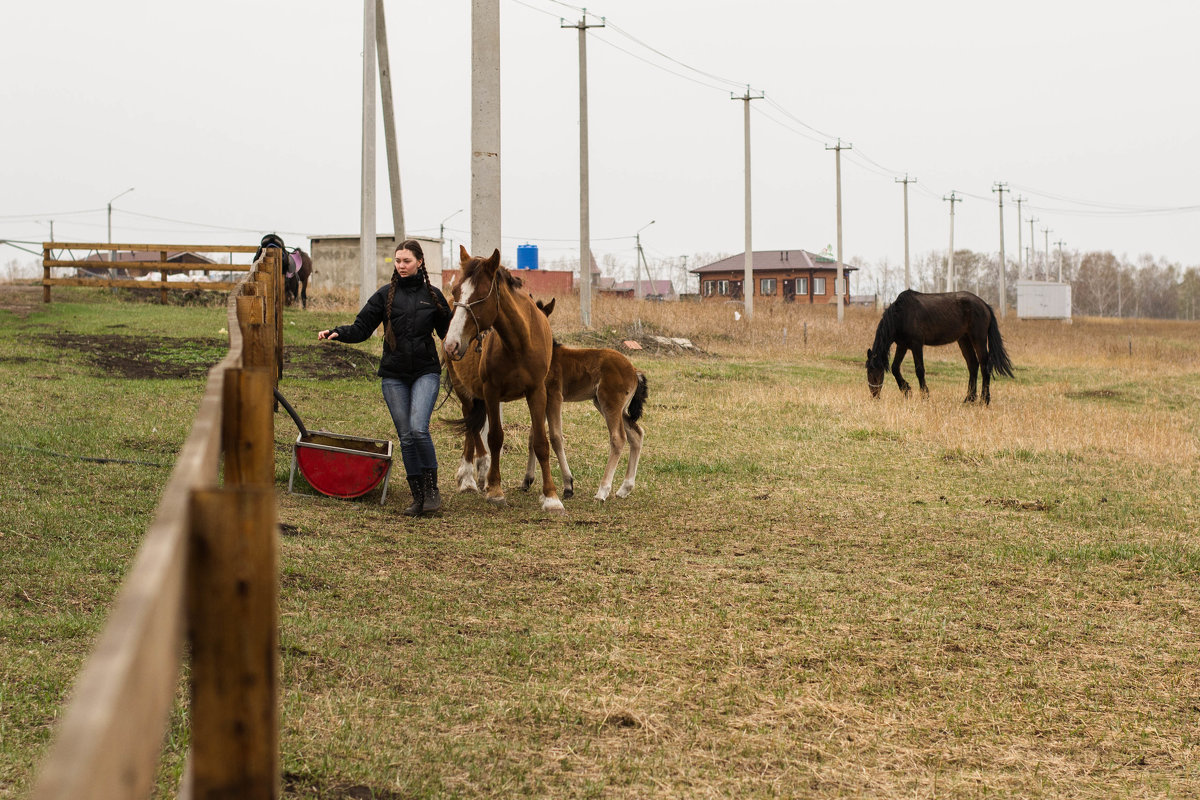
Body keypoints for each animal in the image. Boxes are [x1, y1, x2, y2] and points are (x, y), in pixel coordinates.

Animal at [444, 244, 564, 515]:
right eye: (456, 291)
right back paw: (469, 476)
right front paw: (496, 490)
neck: (519, 343)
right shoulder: (491, 392)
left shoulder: (537, 391)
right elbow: (495, 437)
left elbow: (541, 441)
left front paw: (551, 496)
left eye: (480, 295)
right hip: (462, 388)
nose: (451, 344)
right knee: (471, 425)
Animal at [525, 299, 648, 501]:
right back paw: (624, 489)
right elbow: (533, 435)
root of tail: (634, 370)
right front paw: (526, 480)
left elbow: (556, 436)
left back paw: (602, 491)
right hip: (608, 405)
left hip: (609, 403)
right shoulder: (540, 399)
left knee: (618, 438)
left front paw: (568, 486)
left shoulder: (554, 397)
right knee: (636, 434)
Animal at [864, 289, 1012, 407]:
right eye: (868, 372)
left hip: (978, 339)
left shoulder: (916, 345)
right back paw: (968, 399)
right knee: (973, 365)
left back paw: (984, 400)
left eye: (874, 372)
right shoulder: (902, 345)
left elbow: (919, 370)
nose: (874, 395)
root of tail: (985, 305)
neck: (902, 314)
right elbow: (895, 368)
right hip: (964, 340)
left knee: (984, 366)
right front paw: (906, 390)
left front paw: (925, 396)